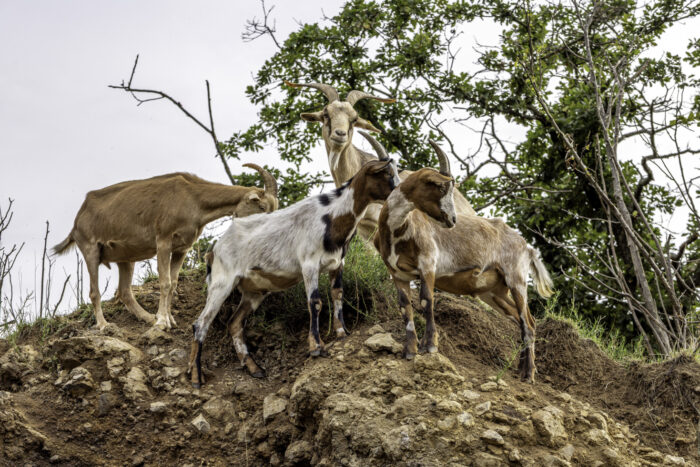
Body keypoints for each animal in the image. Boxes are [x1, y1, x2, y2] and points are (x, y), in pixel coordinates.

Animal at [53, 165, 278, 331]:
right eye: (261, 207)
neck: (194, 198)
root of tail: (78, 219)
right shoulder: (163, 241)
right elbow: (165, 282)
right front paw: (163, 322)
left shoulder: (181, 248)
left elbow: (174, 283)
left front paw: (168, 318)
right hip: (90, 249)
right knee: (94, 292)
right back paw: (104, 325)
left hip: (126, 258)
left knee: (125, 292)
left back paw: (148, 317)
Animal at [188, 137, 401, 387]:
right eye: (386, 173)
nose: (399, 192)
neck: (331, 216)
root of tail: (213, 250)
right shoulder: (309, 264)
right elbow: (315, 302)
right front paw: (317, 347)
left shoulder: (337, 263)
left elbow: (337, 294)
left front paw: (342, 333)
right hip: (222, 281)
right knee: (201, 324)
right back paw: (196, 377)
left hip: (254, 291)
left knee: (234, 323)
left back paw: (254, 368)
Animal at [371, 136, 554, 382]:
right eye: (440, 186)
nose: (452, 219)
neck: (398, 230)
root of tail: (526, 246)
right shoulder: (397, 273)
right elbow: (405, 307)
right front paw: (409, 351)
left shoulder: (428, 264)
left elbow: (426, 300)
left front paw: (430, 346)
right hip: (494, 293)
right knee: (520, 318)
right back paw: (520, 369)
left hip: (516, 278)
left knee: (528, 323)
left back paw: (529, 375)